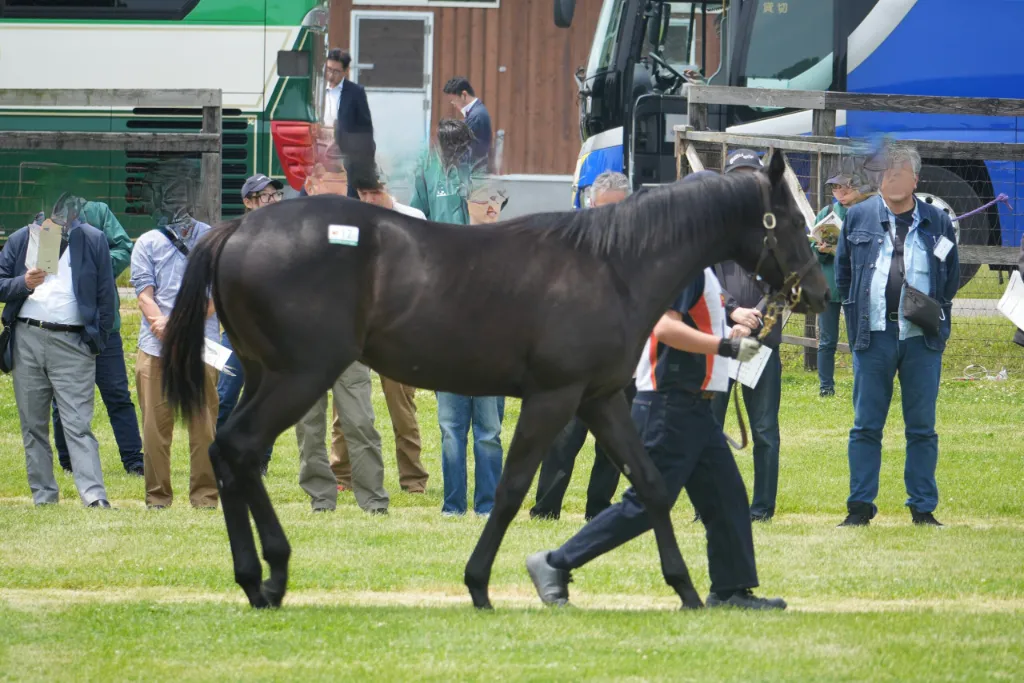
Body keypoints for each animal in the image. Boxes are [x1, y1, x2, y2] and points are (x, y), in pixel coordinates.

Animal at [161, 151, 829, 611]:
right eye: (792, 220)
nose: (821, 293)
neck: (614, 263)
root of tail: (238, 229)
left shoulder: (599, 399)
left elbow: (651, 486)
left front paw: (685, 589)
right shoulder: (551, 399)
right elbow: (509, 490)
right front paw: (479, 584)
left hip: (264, 375)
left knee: (231, 453)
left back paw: (259, 578)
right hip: (300, 376)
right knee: (240, 447)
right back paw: (268, 573)